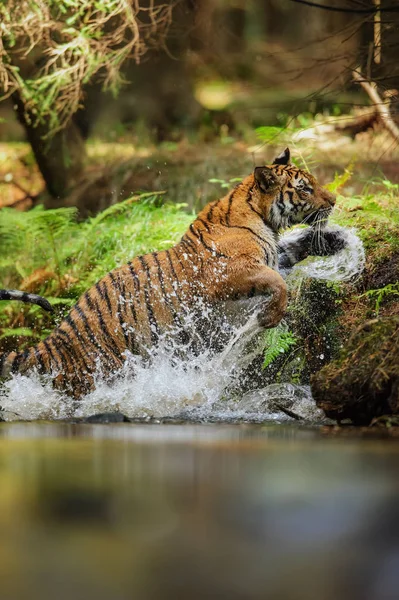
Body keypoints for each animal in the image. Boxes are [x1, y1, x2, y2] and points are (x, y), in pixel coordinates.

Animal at [0, 147, 338, 396]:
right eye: (305, 189)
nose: (335, 200)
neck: (262, 216)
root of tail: (52, 342)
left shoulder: (271, 257)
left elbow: (290, 254)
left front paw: (332, 241)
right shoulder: (227, 273)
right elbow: (278, 282)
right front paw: (270, 317)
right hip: (100, 372)